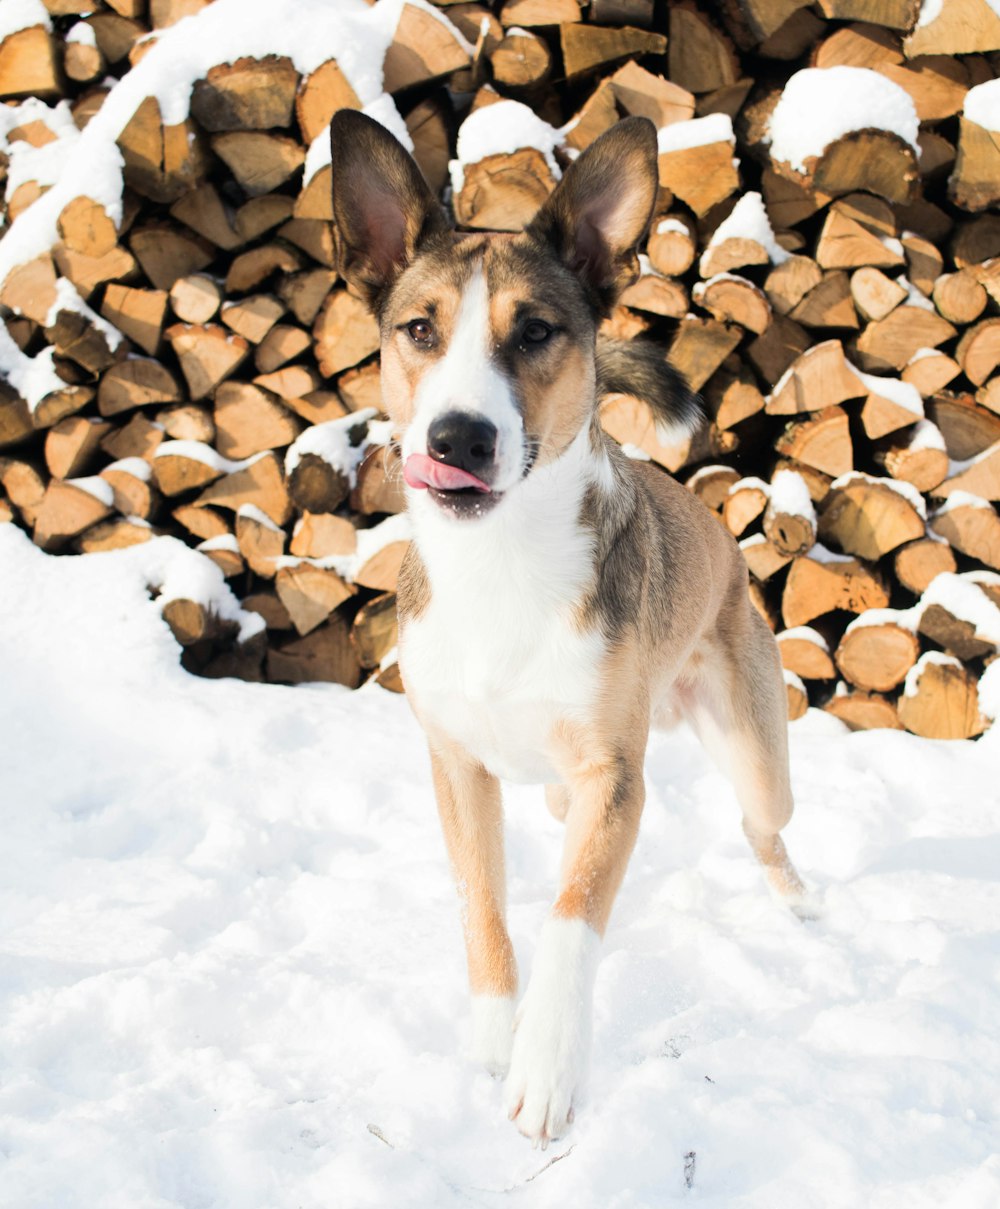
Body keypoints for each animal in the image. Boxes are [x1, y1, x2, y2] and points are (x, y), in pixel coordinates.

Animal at [331, 108, 807, 1146]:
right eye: (418, 329)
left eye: (538, 331)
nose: (458, 439)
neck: (503, 563)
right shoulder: (457, 765)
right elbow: (485, 904)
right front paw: (491, 1039)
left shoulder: (611, 777)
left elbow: (572, 914)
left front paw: (545, 1069)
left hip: (751, 747)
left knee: (763, 825)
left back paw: (801, 906)